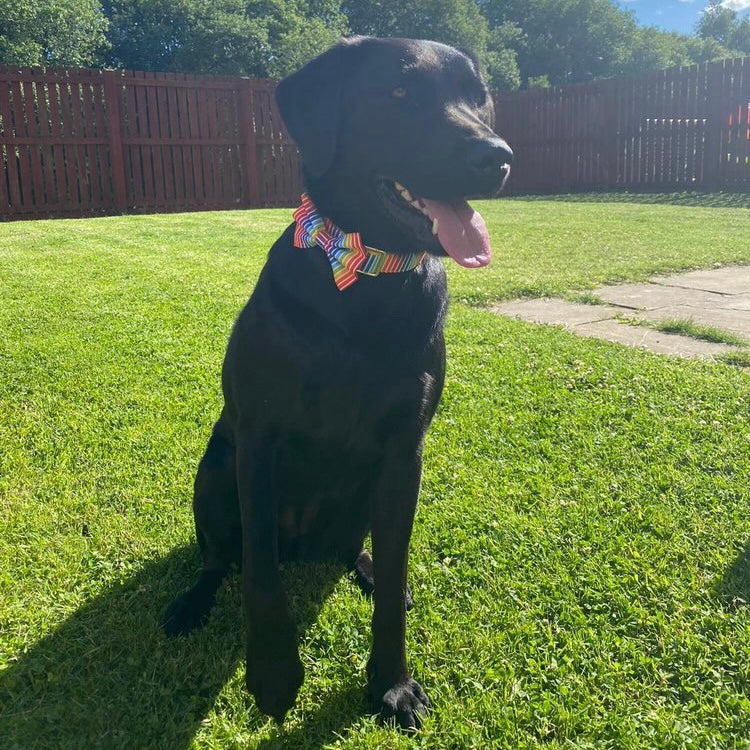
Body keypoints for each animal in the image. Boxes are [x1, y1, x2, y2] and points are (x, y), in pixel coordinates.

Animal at [166, 36, 512, 736]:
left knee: (359, 552)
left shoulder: (405, 453)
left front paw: (391, 684)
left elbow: (393, 586)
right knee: (220, 558)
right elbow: (259, 570)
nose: (497, 157)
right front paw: (273, 676)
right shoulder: (258, 437)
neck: (365, 279)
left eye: (479, 95)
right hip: (214, 473)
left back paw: (375, 573)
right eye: (399, 92)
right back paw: (191, 603)